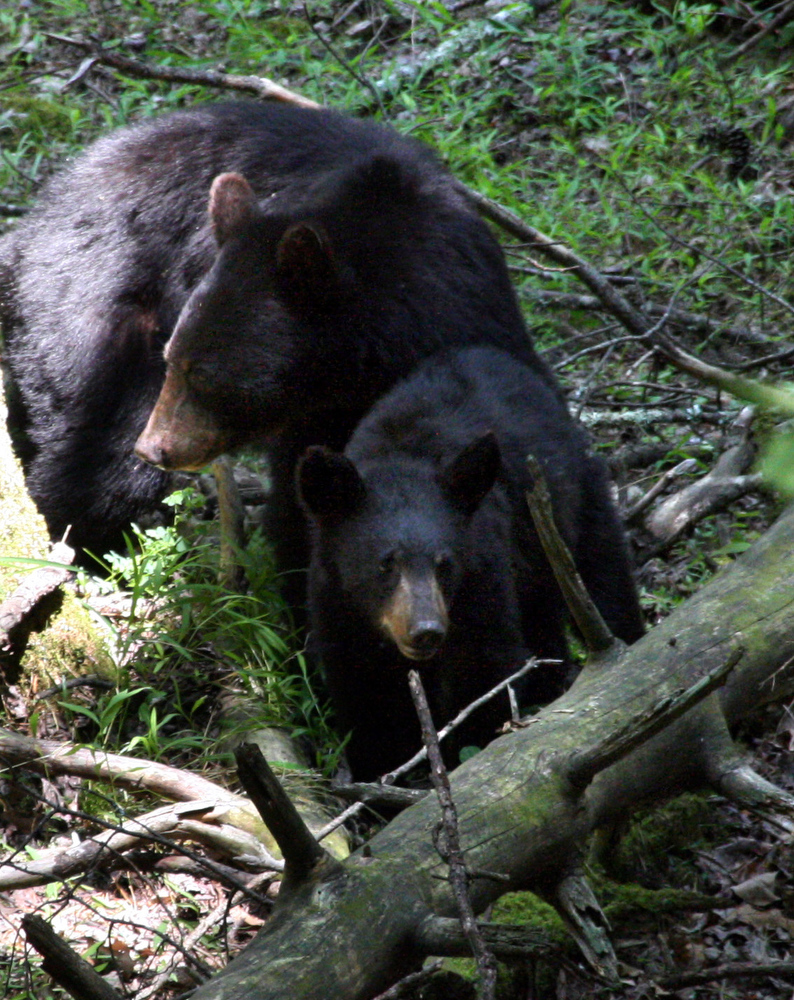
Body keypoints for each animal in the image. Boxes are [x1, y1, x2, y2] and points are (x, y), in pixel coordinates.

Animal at [0, 100, 554, 563]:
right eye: (175, 361)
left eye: (206, 376)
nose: (156, 447)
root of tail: (32, 223)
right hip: (88, 308)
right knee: (97, 444)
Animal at [296, 346, 644, 781]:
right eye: (385, 563)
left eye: (444, 563)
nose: (425, 630)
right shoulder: (336, 600)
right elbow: (362, 690)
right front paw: (378, 773)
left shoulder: (482, 578)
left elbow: (484, 671)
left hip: (575, 502)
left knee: (605, 577)